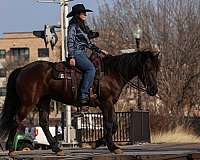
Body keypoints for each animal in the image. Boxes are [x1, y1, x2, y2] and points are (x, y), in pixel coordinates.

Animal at [0, 49, 160, 156]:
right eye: (147, 67)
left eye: (157, 68)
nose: (153, 90)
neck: (111, 73)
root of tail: (23, 69)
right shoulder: (106, 103)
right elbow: (109, 124)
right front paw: (112, 147)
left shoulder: (108, 104)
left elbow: (113, 125)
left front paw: (96, 143)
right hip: (28, 102)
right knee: (16, 120)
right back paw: (11, 150)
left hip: (44, 101)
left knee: (44, 123)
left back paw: (57, 148)